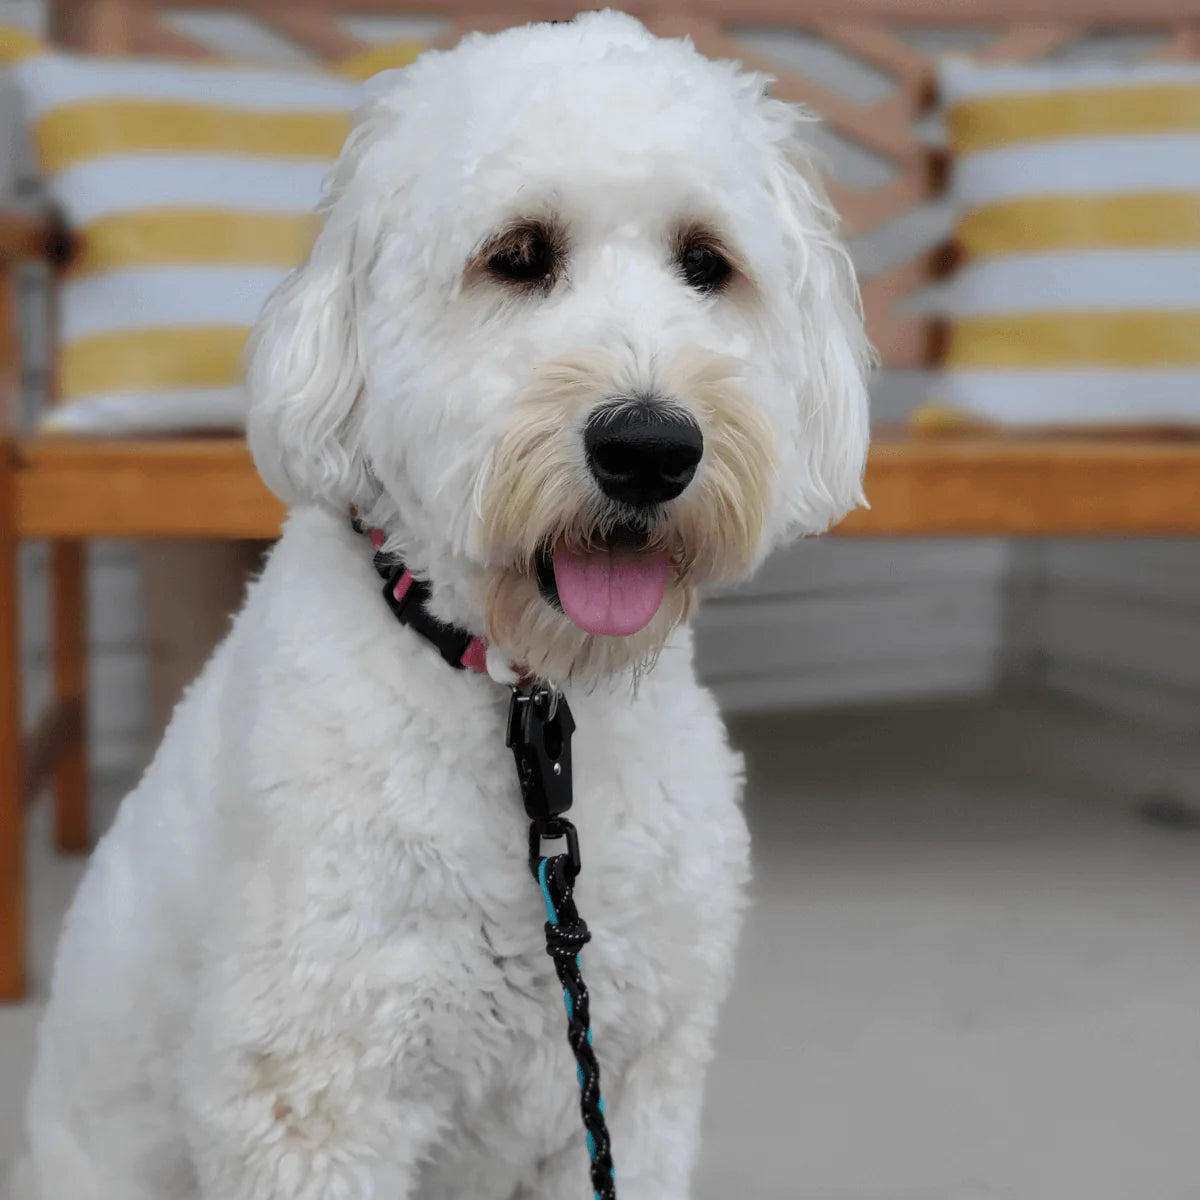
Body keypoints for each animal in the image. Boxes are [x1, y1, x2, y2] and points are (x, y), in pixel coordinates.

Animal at [18, 11, 868, 1200]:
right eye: (518, 255)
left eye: (707, 262)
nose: (649, 446)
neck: (527, 710)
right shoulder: (314, 1106)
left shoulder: (630, 1089)